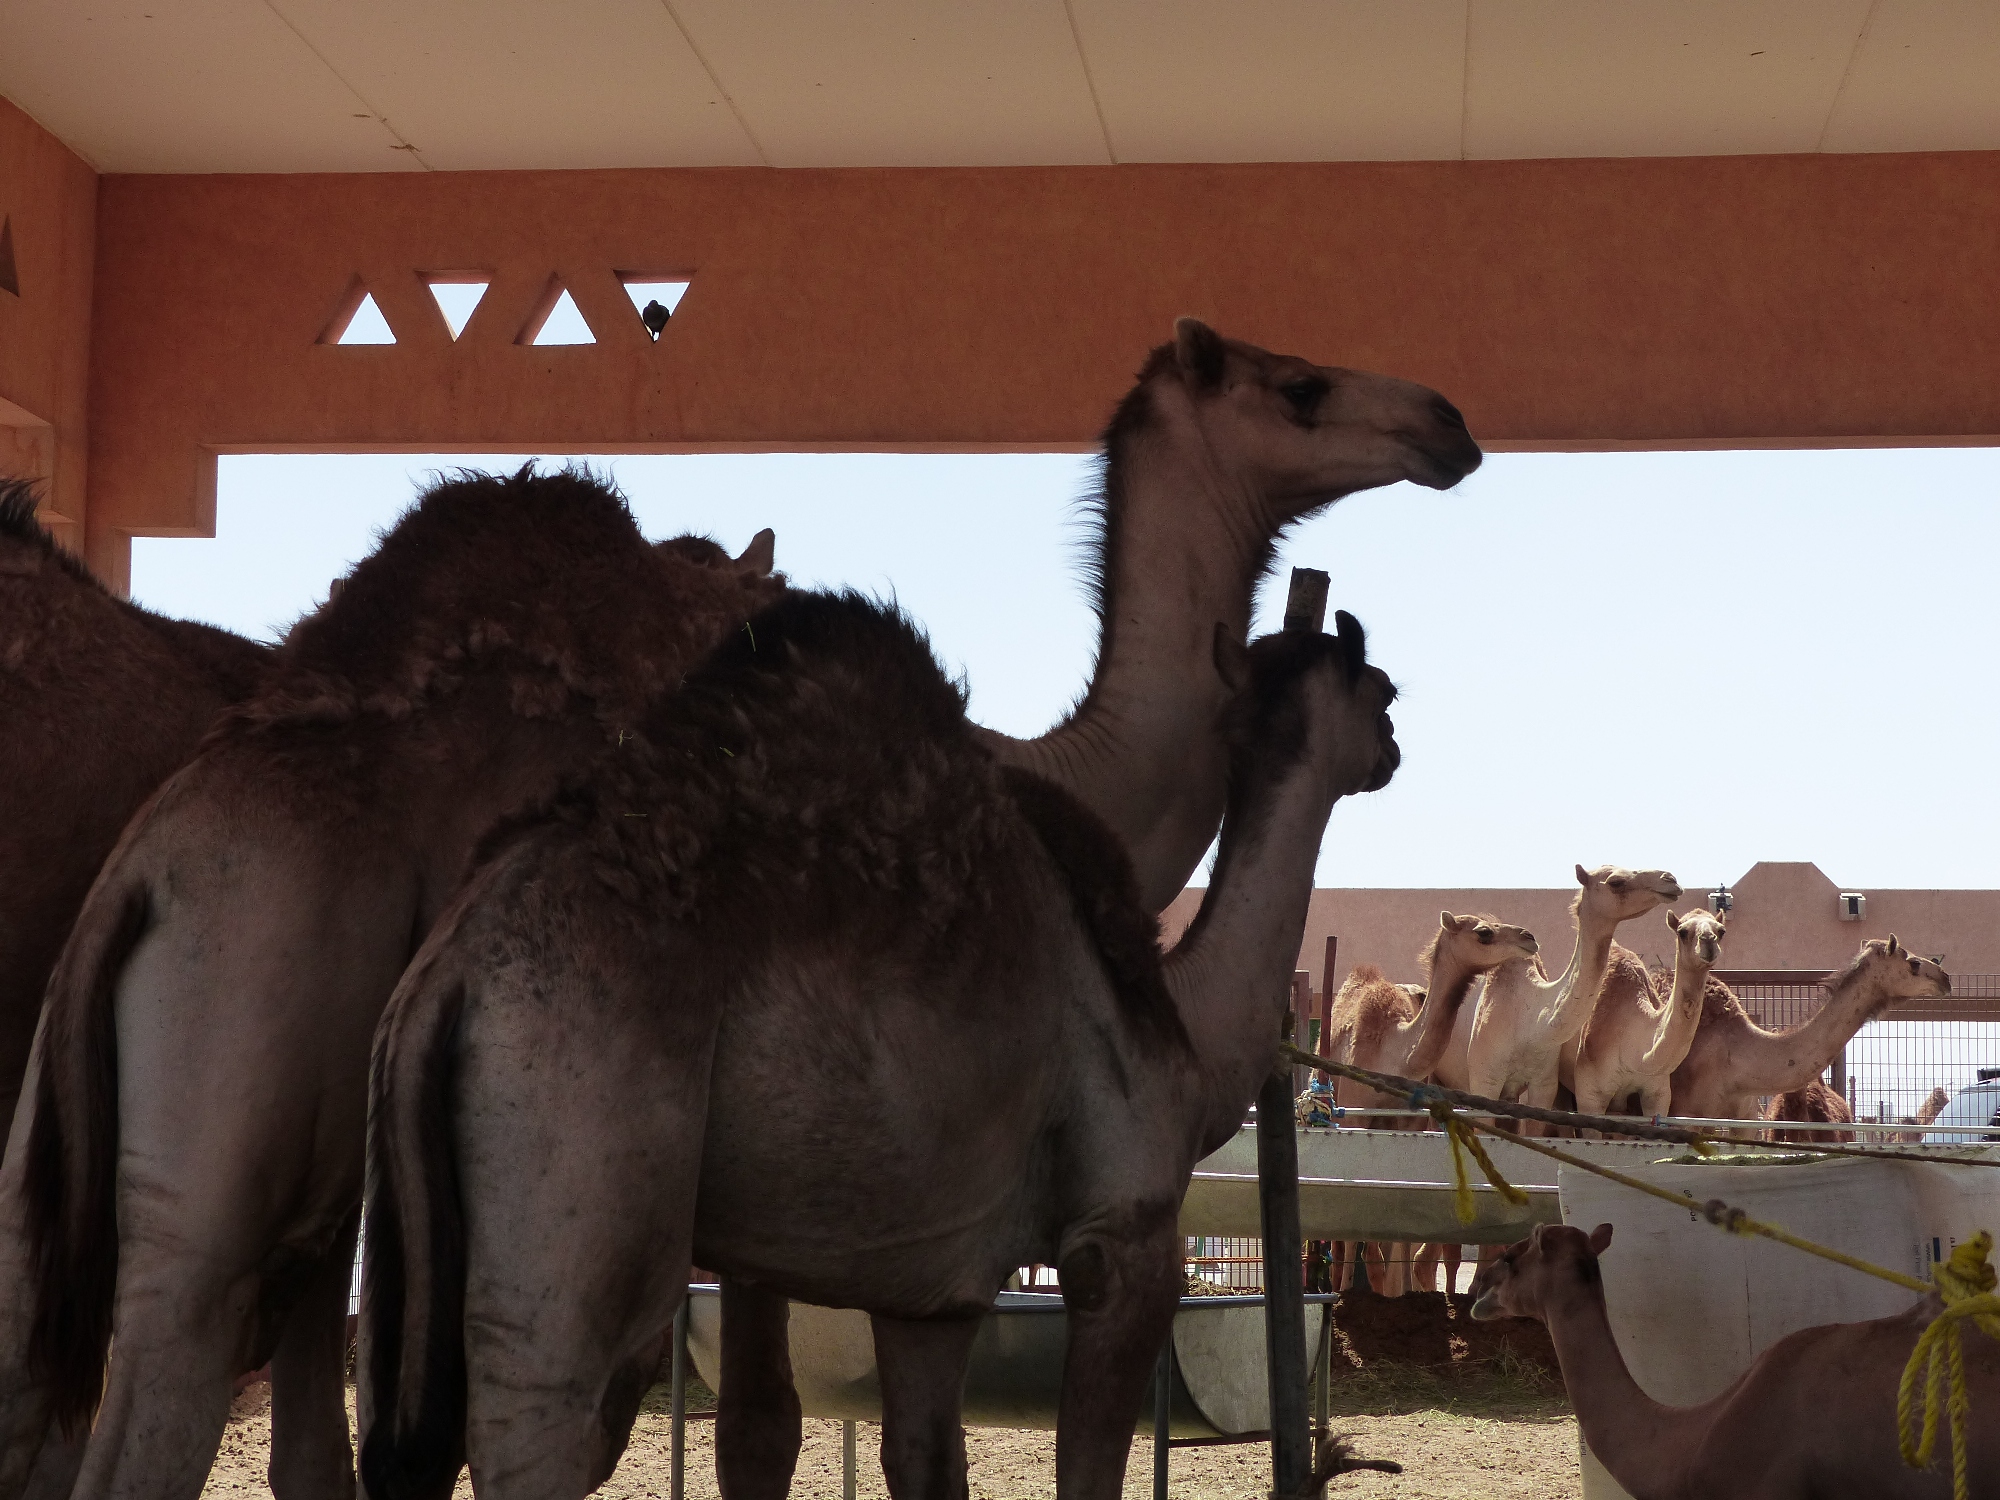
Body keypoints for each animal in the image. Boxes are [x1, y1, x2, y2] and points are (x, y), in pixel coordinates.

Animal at [359, 601, 1401, 1500]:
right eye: (1376, 687)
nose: (1393, 744)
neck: (1180, 1031)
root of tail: (450, 966)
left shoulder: (931, 1290)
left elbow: (924, 1460)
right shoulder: (1124, 1232)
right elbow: (1085, 1469)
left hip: (414, 1218)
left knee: (410, 1439)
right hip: (582, 1172)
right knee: (545, 1413)